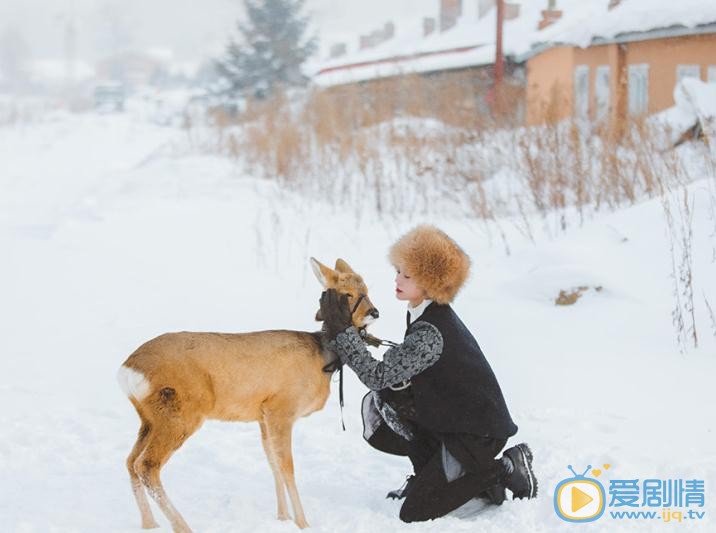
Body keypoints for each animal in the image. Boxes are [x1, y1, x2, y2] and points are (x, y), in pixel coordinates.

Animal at [116, 256, 380, 528]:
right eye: (347, 293)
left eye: (366, 289)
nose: (374, 312)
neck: (322, 358)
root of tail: (127, 370)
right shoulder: (281, 408)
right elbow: (287, 466)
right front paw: (303, 523)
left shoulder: (262, 414)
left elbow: (273, 463)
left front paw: (282, 517)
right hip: (179, 411)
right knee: (147, 465)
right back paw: (182, 526)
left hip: (150, 418)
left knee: (130, 461)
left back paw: (150, 524)